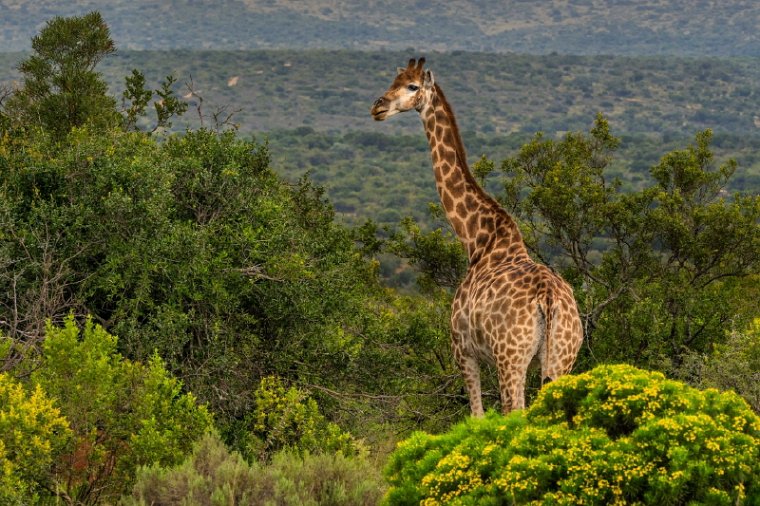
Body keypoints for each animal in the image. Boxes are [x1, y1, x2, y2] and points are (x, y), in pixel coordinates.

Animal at [370, 58, 580, 416]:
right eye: (393, 81)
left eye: (412, 86)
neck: (477, 239)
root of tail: (548, 299)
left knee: (514, 410)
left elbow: (477, 415)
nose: (377, 107)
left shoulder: (463, 352)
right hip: (562, 358)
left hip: (510, 358)